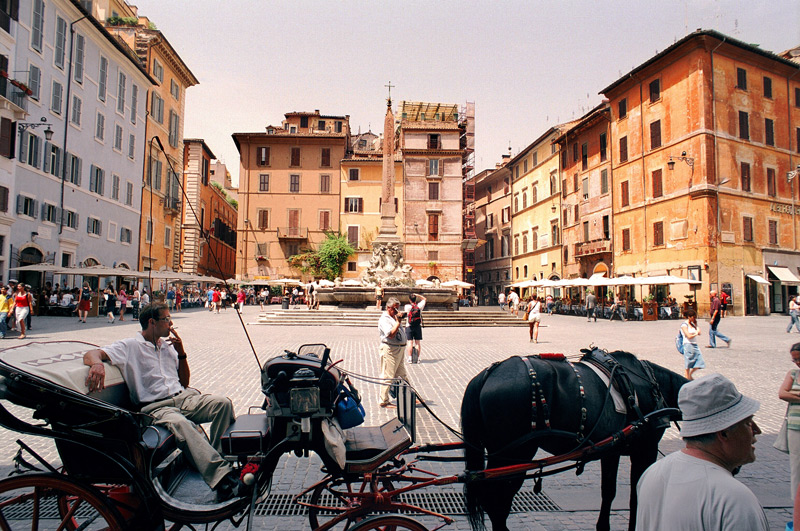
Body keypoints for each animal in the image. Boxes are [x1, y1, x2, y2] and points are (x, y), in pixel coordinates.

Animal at [462, 350, 688, 531]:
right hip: (515, 454)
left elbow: (609, 491)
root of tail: (488, 373)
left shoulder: (612, 449)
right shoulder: (646, 449)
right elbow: (636, 496)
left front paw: (603, 526)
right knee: (496, 500)